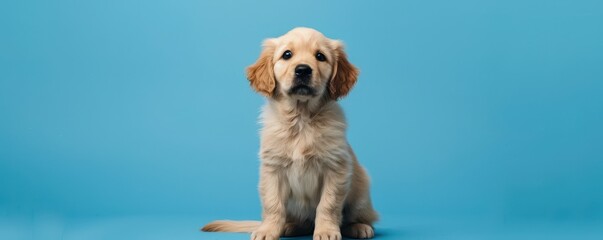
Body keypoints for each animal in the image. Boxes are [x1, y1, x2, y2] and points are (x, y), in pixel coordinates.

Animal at [205, 27, 380, 239]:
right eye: (287, 54)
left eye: (320, 56)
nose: (303, 69)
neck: (301, 119)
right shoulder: (272, 169)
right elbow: (273, 204)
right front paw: (268, 230)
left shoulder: (336, 168)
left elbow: (328, 205)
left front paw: (327, 231)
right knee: (299, 221)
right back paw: (289, 226)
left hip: (360, 191)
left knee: (356, 217)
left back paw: (359, 227)